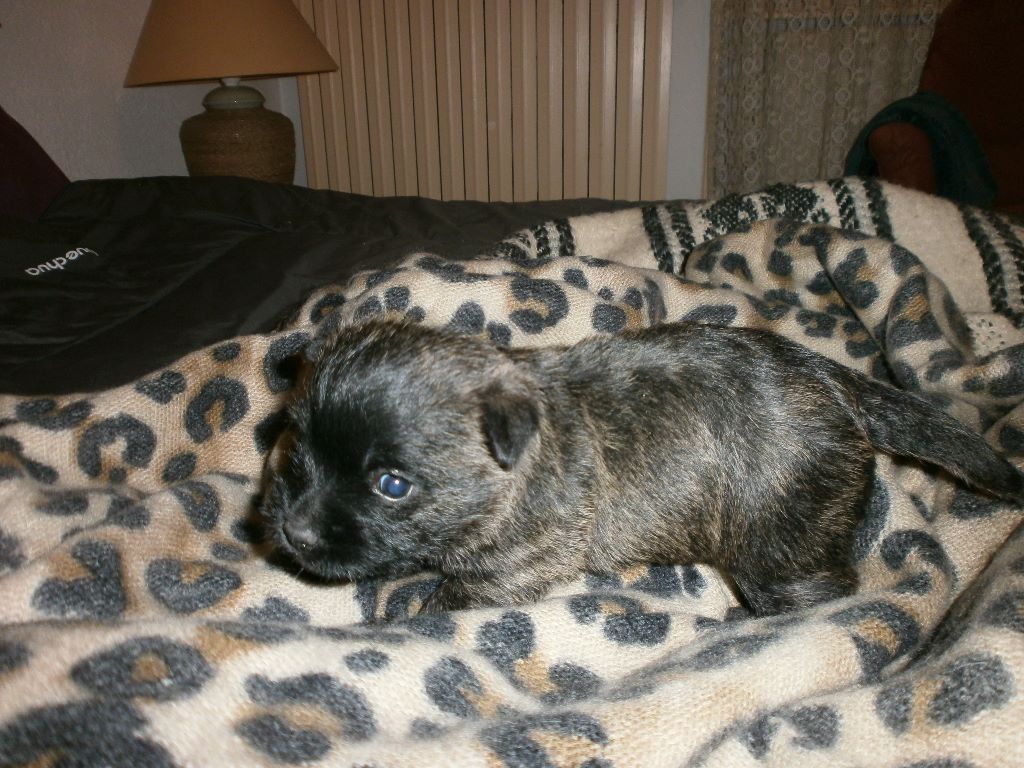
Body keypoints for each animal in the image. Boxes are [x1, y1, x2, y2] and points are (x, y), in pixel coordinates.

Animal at [261, 320, 1023, 616]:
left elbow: (448, 599)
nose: (293, 533)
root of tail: (839, 384)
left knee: (821, 593)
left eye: (392, 485)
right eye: (295, 449)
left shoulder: (510, 567)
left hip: (779, 551)